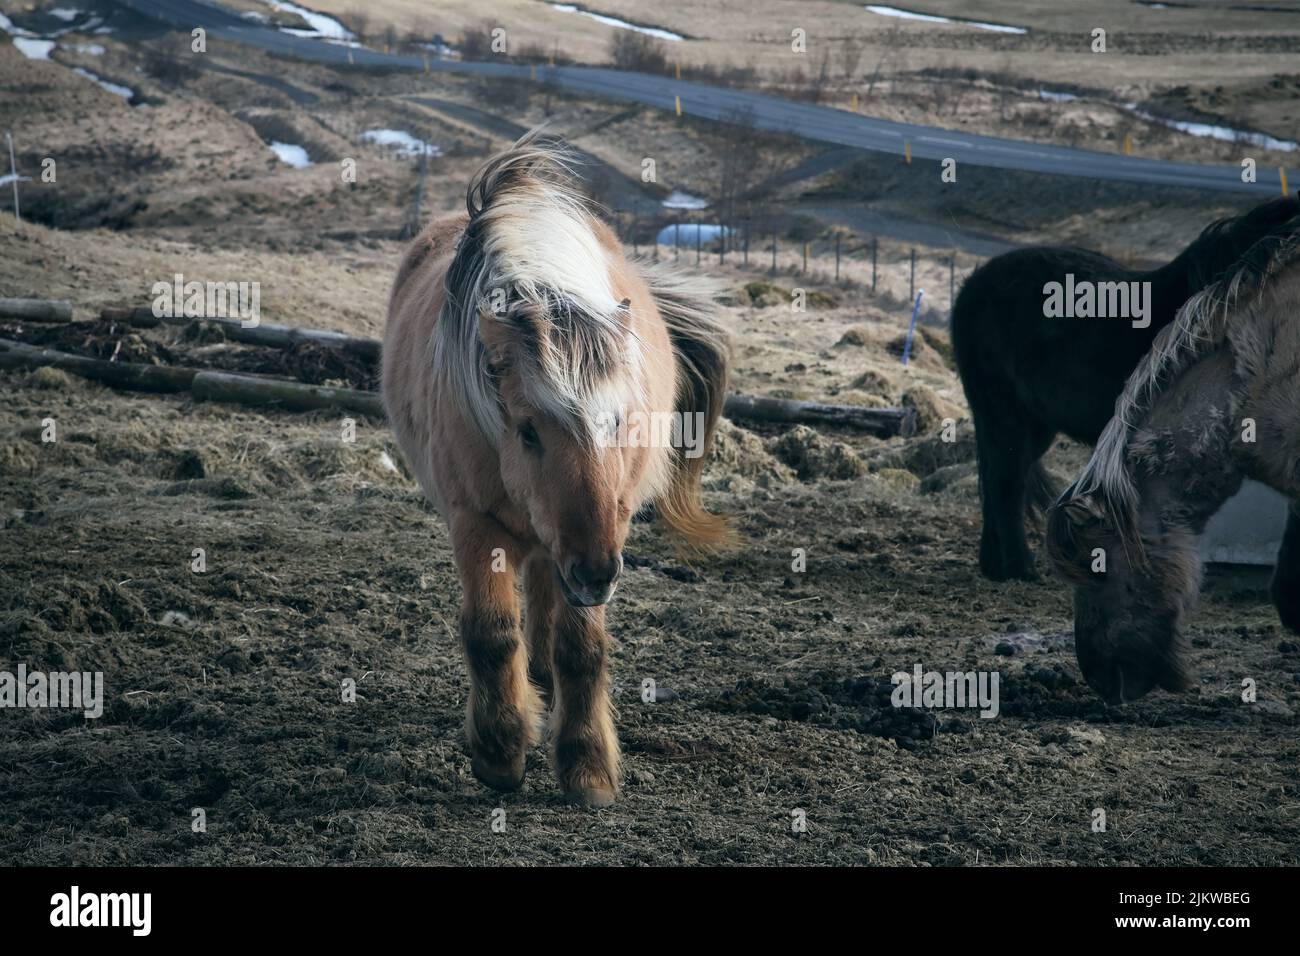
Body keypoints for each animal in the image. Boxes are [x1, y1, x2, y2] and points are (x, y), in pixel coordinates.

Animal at [379, 132, 738, 806]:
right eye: (526, 429)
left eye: (620, 421)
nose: (596, 571)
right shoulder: (475, 522)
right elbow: (492, 633)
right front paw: (500, 753)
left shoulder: (608, 525)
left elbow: (582, 647)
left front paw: (587, 767)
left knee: (549, 592)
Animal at [946, 197, 1300, 580]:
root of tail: (971, 286)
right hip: (1004, 415)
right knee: (1005, 485)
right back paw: (1019, 569)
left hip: (1033, 424)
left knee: (1006, 480)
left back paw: (997, 566)